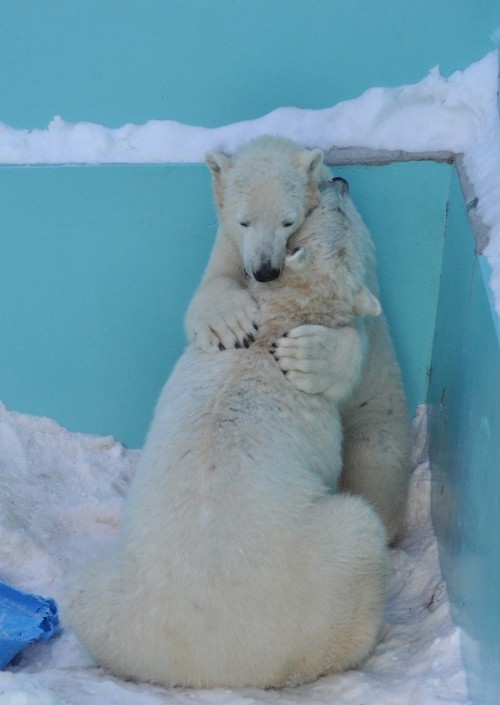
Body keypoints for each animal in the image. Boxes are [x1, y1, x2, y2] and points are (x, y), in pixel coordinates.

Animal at [62, 182, 388, 688]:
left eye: (324, 211)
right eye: (338, 212)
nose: (341, 184)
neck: (275, 322)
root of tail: (211, 666)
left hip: (109, 603)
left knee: (77, 591)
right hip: (325, 570)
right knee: (363, 529)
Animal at [186, 135, 412, 540]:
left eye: (288, 221)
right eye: (244, 221)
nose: (265, 270)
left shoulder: (357, 268)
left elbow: (357, 333)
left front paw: (306, 355)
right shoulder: (229, 247)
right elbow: (214, 285)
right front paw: (230, 324)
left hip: (381, 420)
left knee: (377, 461)